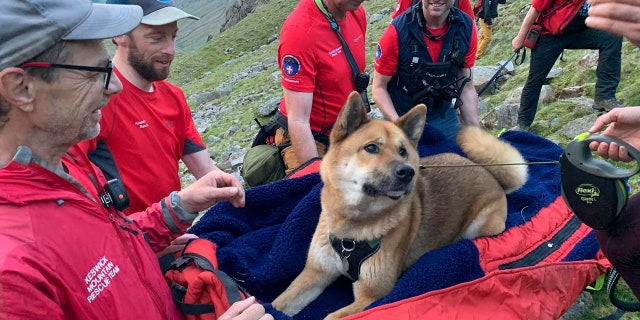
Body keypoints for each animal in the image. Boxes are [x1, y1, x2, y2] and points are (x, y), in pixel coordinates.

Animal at [272, 91, 528, 318]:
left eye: (403, 151)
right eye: (371, 147)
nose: (408, 172)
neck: (351, 230)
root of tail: (488, 172)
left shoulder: (372, 295)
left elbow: (330, 317)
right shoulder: (315, 273)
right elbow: (279, 303)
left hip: (481, 226)